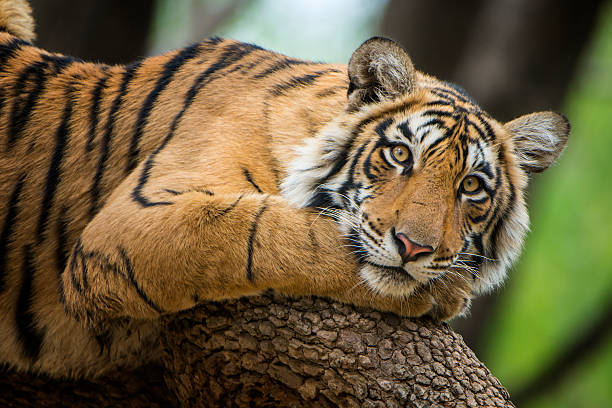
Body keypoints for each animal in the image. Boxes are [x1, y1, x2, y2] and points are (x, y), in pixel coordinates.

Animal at [0, 0, 568, 380]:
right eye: (400, 155)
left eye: (471, 186)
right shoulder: (134, 221)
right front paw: (445, 290)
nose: (415, 248)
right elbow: (271, 233)